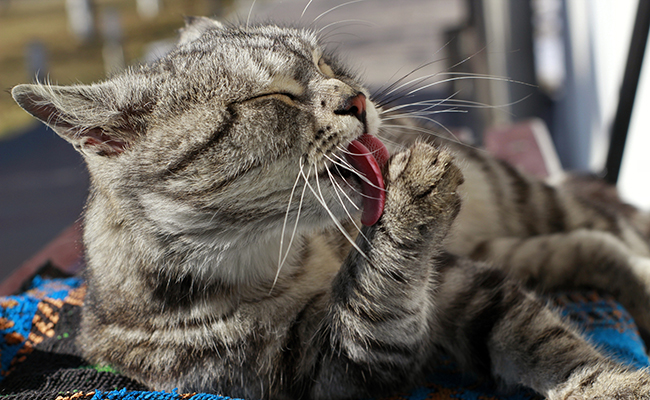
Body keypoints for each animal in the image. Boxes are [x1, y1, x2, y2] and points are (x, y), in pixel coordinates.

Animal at [11, 15, 650, 400]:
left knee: (607, 227)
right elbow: (376, 298)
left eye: (326, 65)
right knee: (595, 246)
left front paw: (608, 384)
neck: (285, 256)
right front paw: (407, 207)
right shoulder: (332, 369)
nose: (359, 100)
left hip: (528, 200)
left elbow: (546, 342)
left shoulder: (459, 283)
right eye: (272, 97)